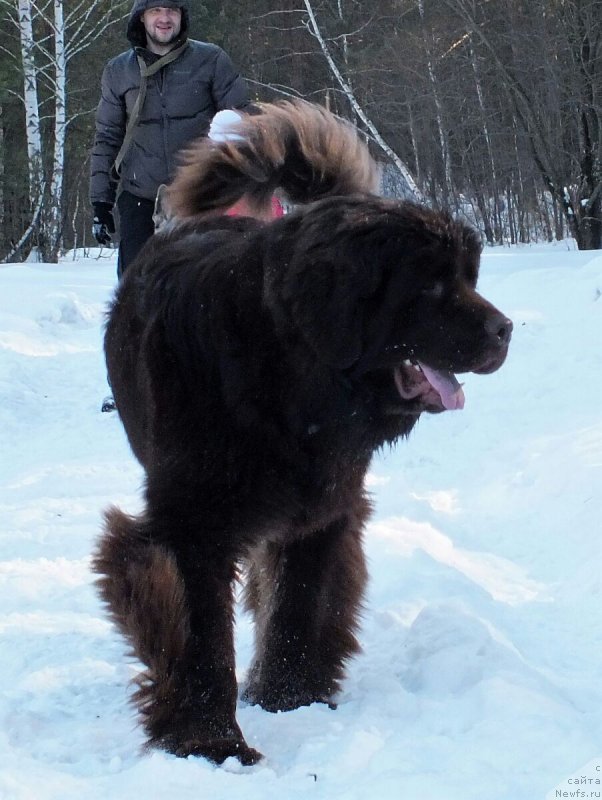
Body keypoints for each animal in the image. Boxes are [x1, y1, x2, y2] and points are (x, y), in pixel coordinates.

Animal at [95, 100, 510, 764]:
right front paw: (214, 742)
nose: (505, 330)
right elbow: (200, 635)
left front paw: (289, 699)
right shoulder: (190, 524)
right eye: (430, 285)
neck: (287, 381)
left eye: (469, 278)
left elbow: (300, 603)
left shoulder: (323, 507)